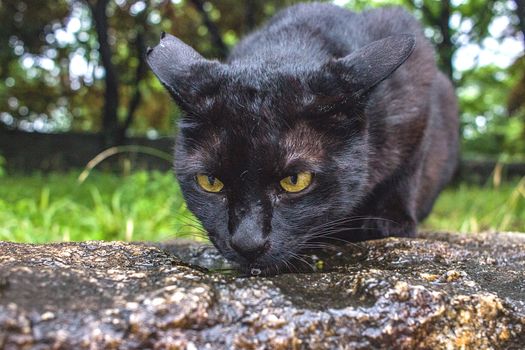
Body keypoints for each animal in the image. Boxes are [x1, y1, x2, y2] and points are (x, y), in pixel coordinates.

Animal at [145, 2, 456, 274]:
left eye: (295, 180)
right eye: (210, 182)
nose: (247, 243)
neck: (289, 45)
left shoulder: (420, 94)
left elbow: (408, 169)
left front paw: (390, 221)